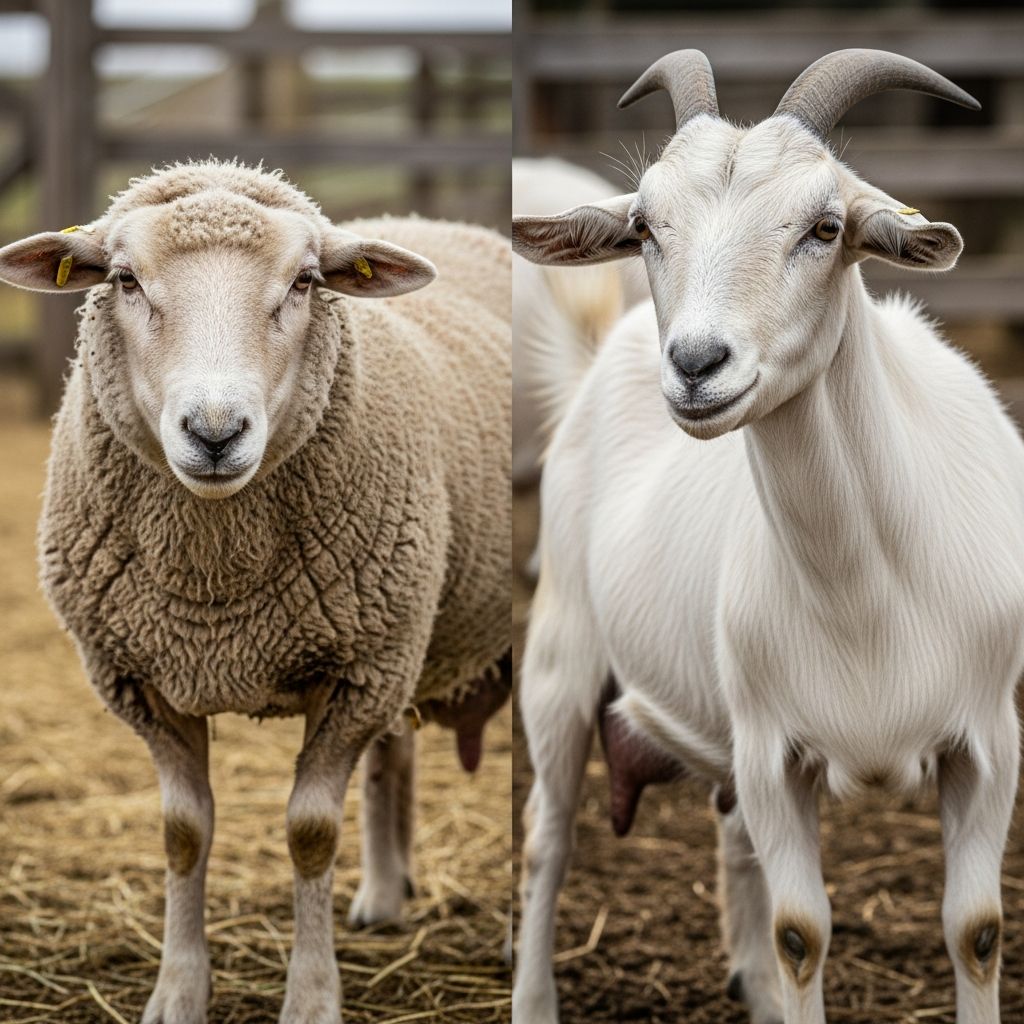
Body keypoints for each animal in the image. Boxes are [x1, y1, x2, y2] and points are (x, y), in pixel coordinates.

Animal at [0, 159, 511, 1024]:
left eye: (305, 282)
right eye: (126, 280)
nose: (215, 432)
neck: (216, 588)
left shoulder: (356, 675)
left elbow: (310, 835)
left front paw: (311, 998)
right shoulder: (142, 679)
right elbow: (182, 832)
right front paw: (177, 993)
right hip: (405, 624)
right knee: (396, 751)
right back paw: (384, 896)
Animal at [512, 49, 1024, 1024]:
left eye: (826, 228)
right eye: (645, 227)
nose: (695, 364)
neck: (865, 590)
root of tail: (607, 347)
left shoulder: (986, 741)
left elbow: (976, 930)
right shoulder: (771, 751)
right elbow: (801, 934)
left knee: (726, 838)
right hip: (560, 656)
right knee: (546, 844)